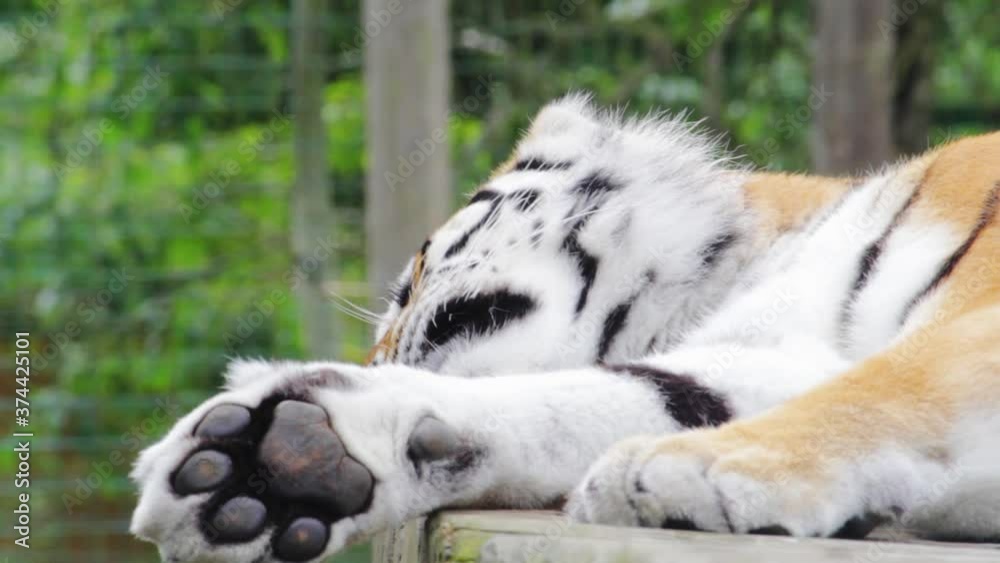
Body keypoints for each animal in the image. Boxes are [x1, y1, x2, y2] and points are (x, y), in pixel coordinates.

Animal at [131, 94, 1000, 563]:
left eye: (409, 282)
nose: (375, 355)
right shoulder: (768, 352)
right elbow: (639, 392)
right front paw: (289, 458)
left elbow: (893, 382)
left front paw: (697, 468)